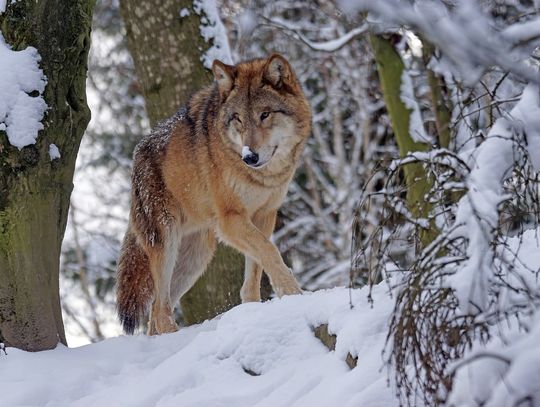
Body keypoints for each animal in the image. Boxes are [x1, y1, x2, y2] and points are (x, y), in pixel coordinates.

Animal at [118, 54, 312, 334]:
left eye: (265, 114)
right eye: (238, 118)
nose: (249, 157)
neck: (263, 177)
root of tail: (137, 155)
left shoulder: (264, 216)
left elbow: (256, 269)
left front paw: (254, 310)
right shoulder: (231, 220)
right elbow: (270, 252)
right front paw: (293, 293)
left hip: (195, 258)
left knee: (155, 311)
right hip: (167, 243)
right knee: (160, 309)